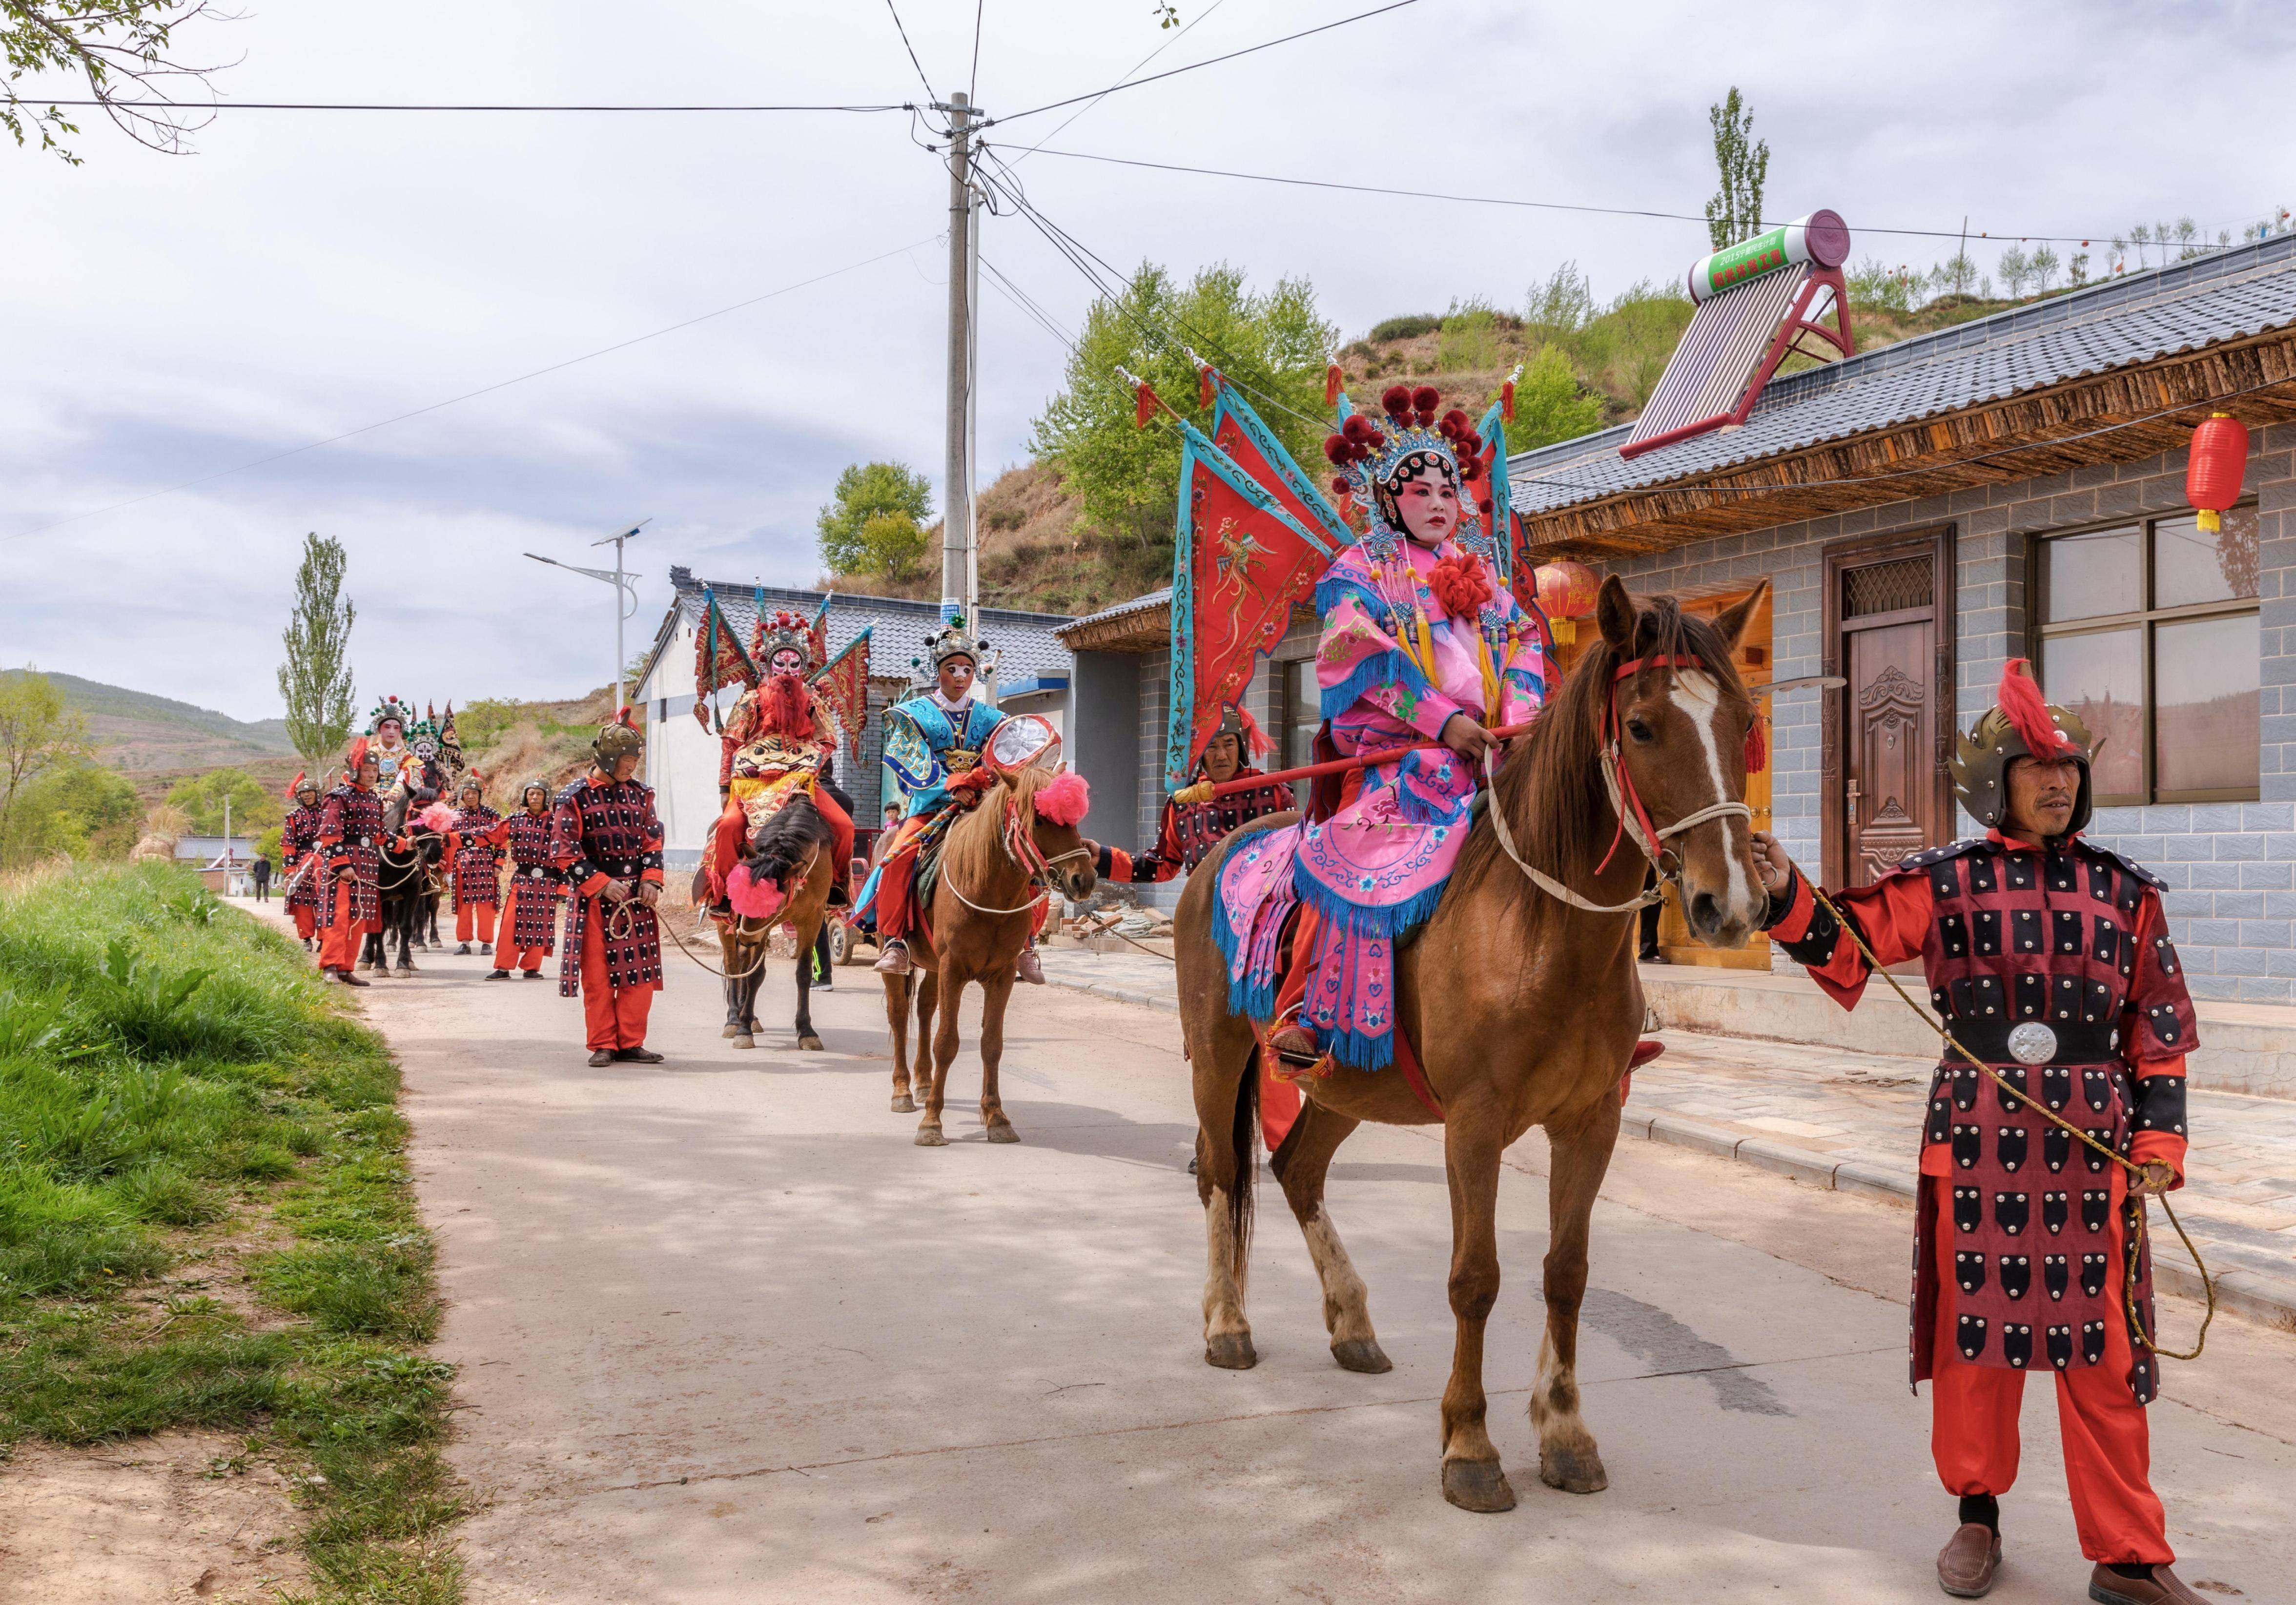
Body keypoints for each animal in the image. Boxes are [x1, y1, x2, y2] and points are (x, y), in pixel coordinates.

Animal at [882, 762, 1097, 1143]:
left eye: (1073, 820)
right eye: (1039, 820)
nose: (1082, 881)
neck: (987, 890)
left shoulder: (1001, 976)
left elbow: (992, 1044)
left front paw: (997, 1118)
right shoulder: (953, 969)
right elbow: (947, 1042)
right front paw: (932, 1123)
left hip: (934, 964)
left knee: (924, 1008)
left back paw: (923, 1083)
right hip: (897, 951)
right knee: (898, 1013)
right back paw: (903, 1091)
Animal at [1175, 581, 1763, 1515]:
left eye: (1742, 722)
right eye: (1640, 727)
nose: (1729, 904)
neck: (1542, 931)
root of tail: (1217, 849)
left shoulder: (1591, 1120)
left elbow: (1565, 1271)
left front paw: (1564, 1433)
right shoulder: (1475, 1122)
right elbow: (1474, 1277)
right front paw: (1469, 1446)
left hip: (1351, 1081)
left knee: (1297, 1169)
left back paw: (1352, 1323)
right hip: (1217, 1050)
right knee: (1222, 1173)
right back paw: (1227, 1323)